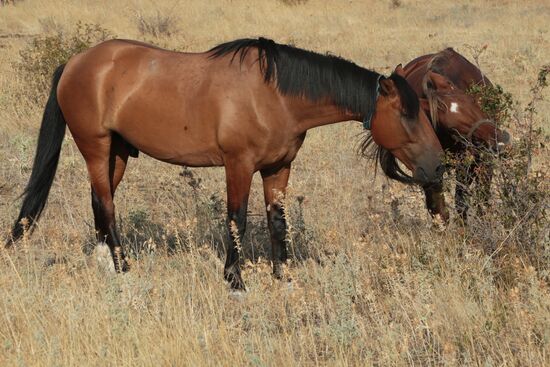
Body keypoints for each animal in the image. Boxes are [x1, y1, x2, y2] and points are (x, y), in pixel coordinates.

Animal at [6, 37, 446, 290]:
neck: (275, 94)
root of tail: (75, 62)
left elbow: (277, 221)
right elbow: (237, 219)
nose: (439, 167)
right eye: (407, 114)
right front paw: (235, 281)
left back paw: (106, 265)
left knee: (100, 202)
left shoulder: (278, 168)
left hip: (116, 153)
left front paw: (284, 278)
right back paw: (124, 268)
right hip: (96, 148)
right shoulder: (238, 165)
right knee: (107, 205)